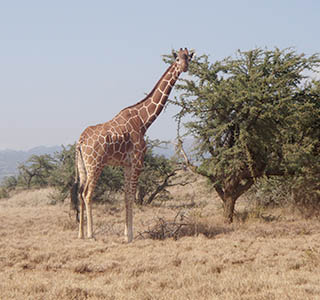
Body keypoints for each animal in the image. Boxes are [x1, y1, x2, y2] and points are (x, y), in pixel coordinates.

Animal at [71, 47, 194, 244]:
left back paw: (80, 234)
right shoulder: (137, 161)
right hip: (95, 164)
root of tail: (80, 141)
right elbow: (131, 195)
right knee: (87, 194)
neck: (144, 121)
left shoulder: (126, 164)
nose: (184, 67)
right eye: (177, 59)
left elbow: (125, 196)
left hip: (83, 166)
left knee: (80, 192)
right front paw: (130, 235)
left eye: (188, 58)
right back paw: (91, 234)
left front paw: (126, 234)